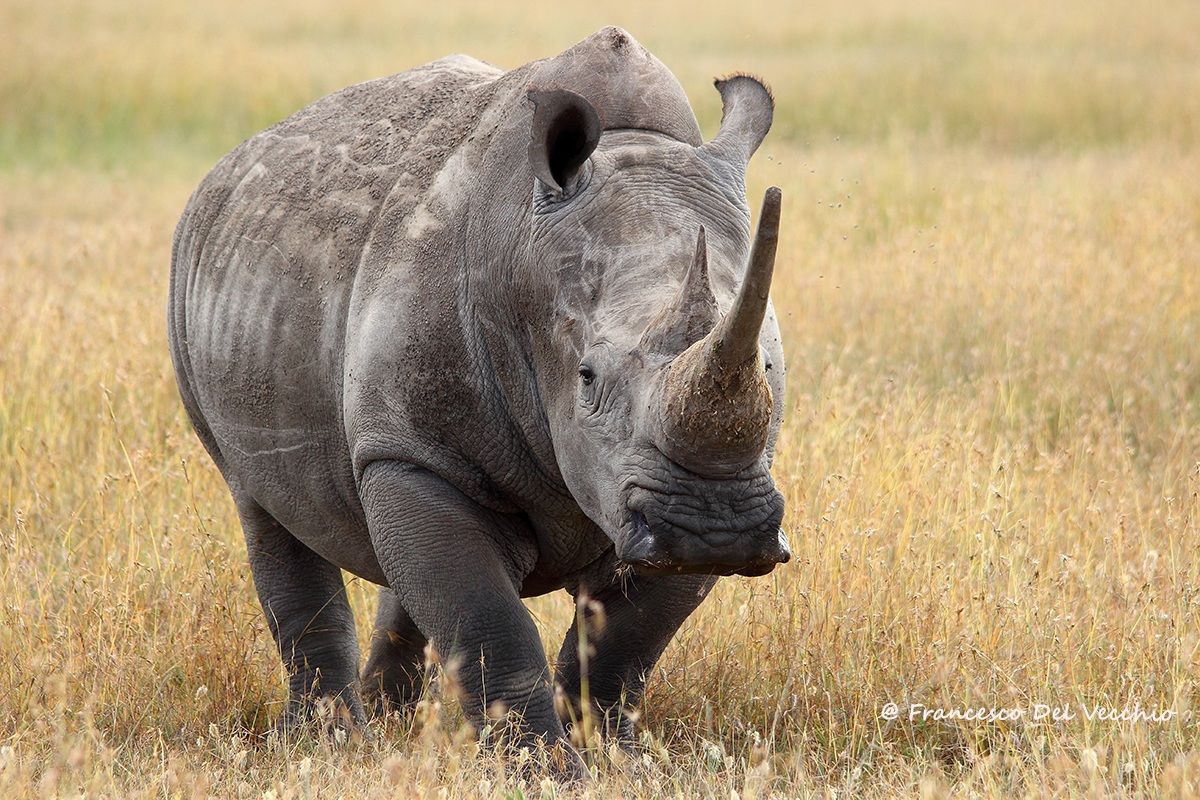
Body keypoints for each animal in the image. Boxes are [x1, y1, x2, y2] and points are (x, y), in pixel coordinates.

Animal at [169, 26, 790, 772]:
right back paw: (331, 746)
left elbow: (626, 640)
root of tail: (229, 167)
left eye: (768, 369)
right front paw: (545, 771)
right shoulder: (415, 452)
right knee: (263, 508)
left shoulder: (672, 488)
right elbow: (487, 619)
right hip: (194, 287)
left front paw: (614, 759)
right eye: (587, 378)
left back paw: (391, 722)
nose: (714, 527)